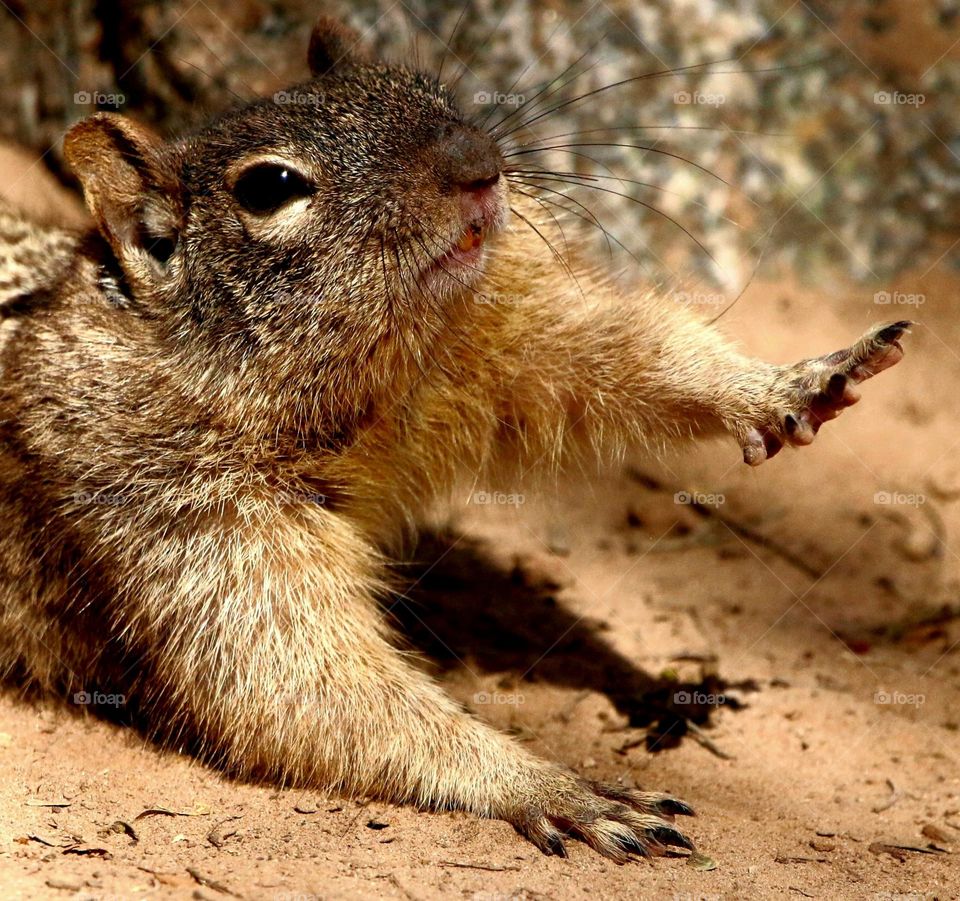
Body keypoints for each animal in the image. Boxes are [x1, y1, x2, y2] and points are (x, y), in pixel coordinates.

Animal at [0, 17, 910, 862]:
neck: (359, 389)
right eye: (269, 187)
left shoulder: (501, 341)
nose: (478, 162)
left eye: (416, 84)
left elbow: (613, 351)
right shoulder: (180, 522)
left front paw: (779, 386)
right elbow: (301, 687)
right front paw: (552, 783)